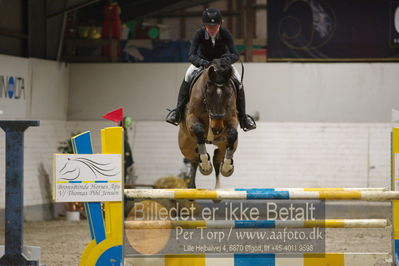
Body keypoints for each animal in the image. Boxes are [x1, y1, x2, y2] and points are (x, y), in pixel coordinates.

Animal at [177, 59, 238, 188]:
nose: (217, 129)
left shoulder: (232, 119)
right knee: (194, 159)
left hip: (224, 144)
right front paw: (205, 164)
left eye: (228, 93)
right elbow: (199, 130)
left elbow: (232, 133)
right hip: (186, 146)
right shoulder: (191, 118)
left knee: (217, 157)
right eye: (208, 93)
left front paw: (227, 167)